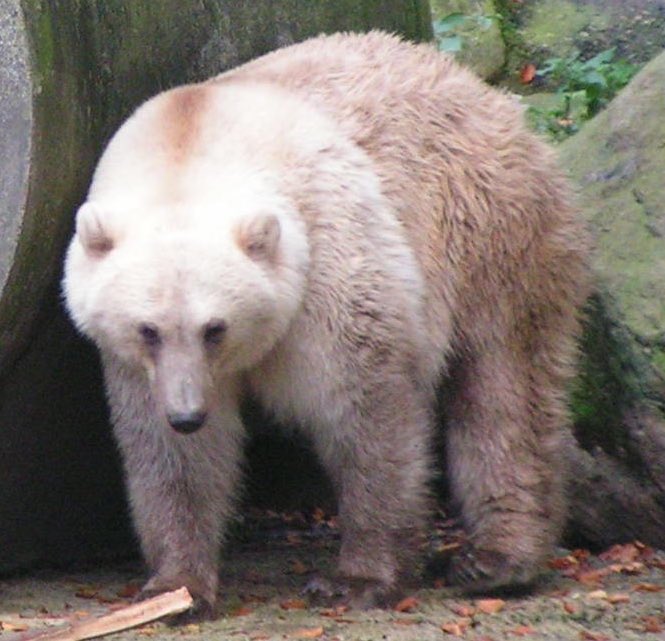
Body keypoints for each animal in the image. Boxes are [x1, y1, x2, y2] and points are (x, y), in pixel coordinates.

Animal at [63, 31, 590, 618]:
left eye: (215, 328)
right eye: (147, 330)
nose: (187, 414)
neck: (193, 141)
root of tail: (487, 93)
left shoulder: (327, 260)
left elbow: (365, 412)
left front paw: (359, 579)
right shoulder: (135, 365)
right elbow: (173, 457)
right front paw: (176, 587)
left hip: (489, 229)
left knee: (504, 386)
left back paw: (498, 559)